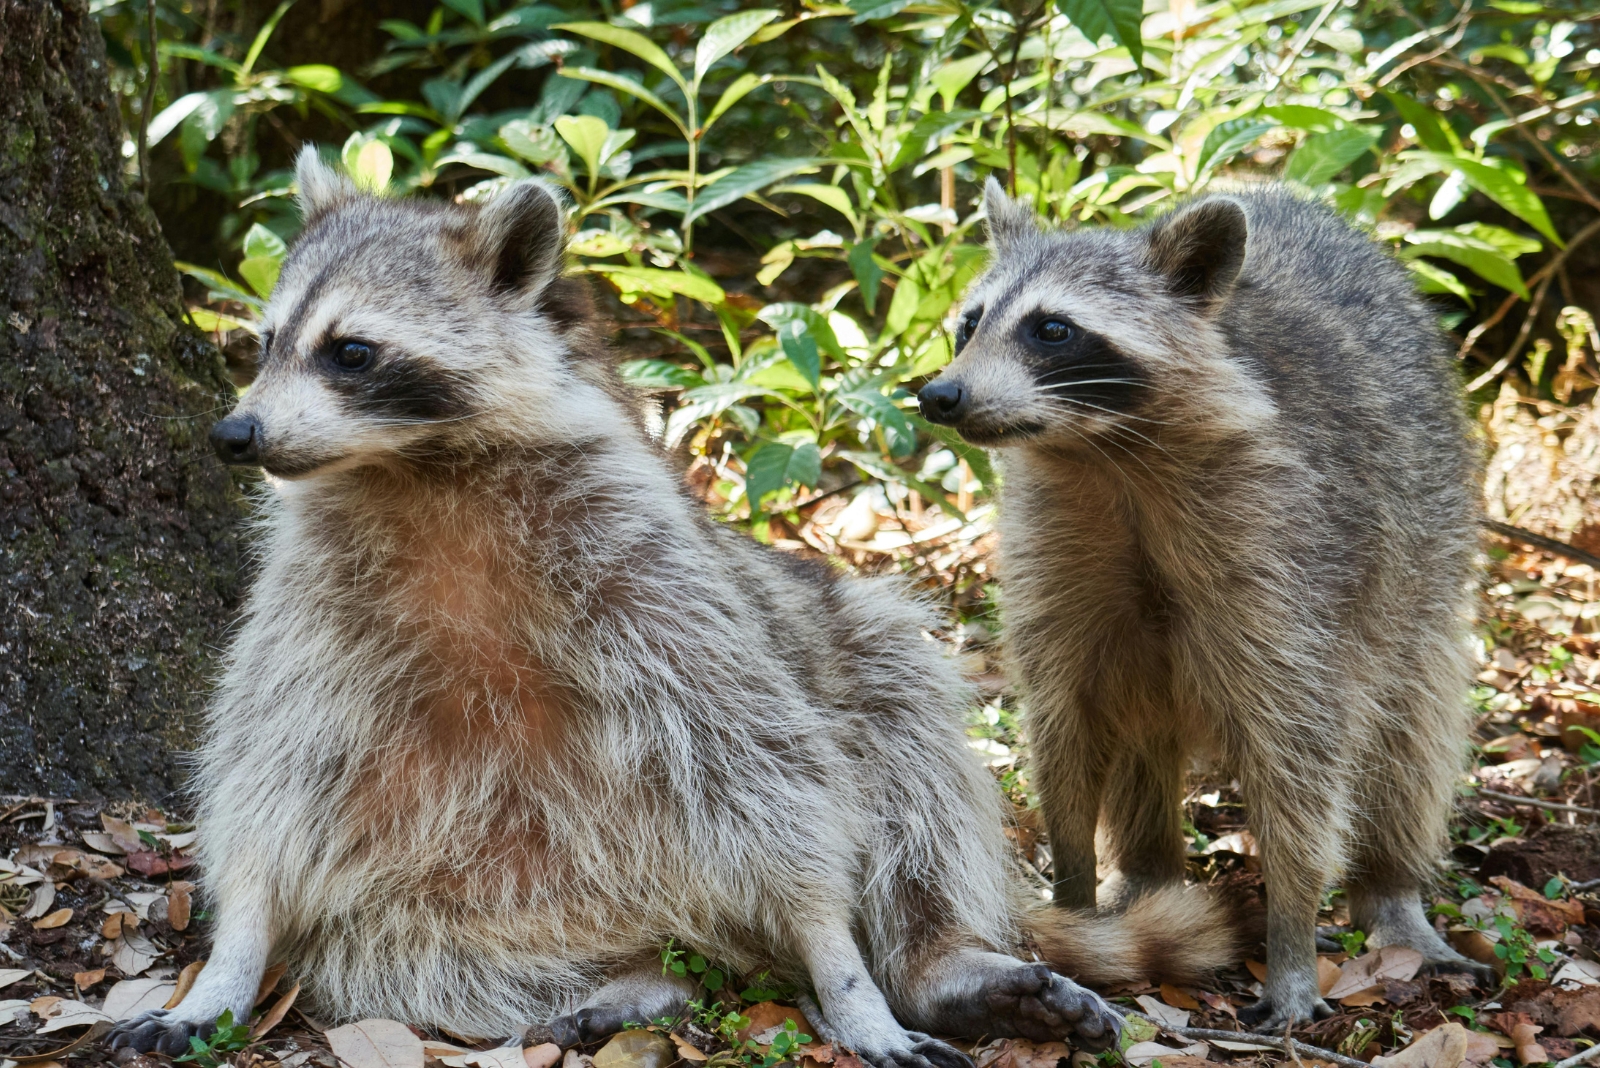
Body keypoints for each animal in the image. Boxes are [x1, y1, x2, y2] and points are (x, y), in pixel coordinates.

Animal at [108, 152, 1241, 1061]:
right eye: (263, 343)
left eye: (350, 351)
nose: (236, 436)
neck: (418, 470)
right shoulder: (309, 609)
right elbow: (271, 782)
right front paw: (231, 956)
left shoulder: (650, 567)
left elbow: (767, 767)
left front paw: (844, 967)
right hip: (452, 909)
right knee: (412, 958)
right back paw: (625, 987)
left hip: (832, 637)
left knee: (901, 724)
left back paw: (934, 958)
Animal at [917, 181, 1484, 1029]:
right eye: (969, 321)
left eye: (1052, 329)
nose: (939, 394)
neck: (1108, 453)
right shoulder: (1051, 554)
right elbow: (1065, 729)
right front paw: (1076, 897)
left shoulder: (1294, 560)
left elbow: (1300, 757)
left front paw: (1291, 937)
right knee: (1137, 724)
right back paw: (1147, 873)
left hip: (1422, 558)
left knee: (1409, 736)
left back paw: (1392, 887)